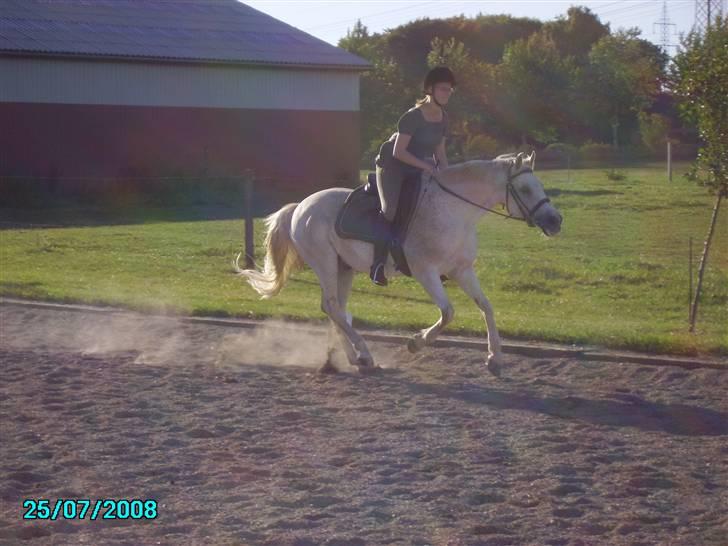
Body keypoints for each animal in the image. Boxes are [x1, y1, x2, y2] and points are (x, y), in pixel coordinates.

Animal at [237, 151, 564, 376]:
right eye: (525, 189)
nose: (555, 221)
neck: (454, 212)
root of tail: (300, 206)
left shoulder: (462, 270)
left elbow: (486, 307)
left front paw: (495, 358)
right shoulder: (426, 272)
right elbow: (448, 313)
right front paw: (416, 342)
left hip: (344, 268)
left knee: (336, 309)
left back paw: (354, 358)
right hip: (326, 263)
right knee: (332, 307)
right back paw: (364, 355)